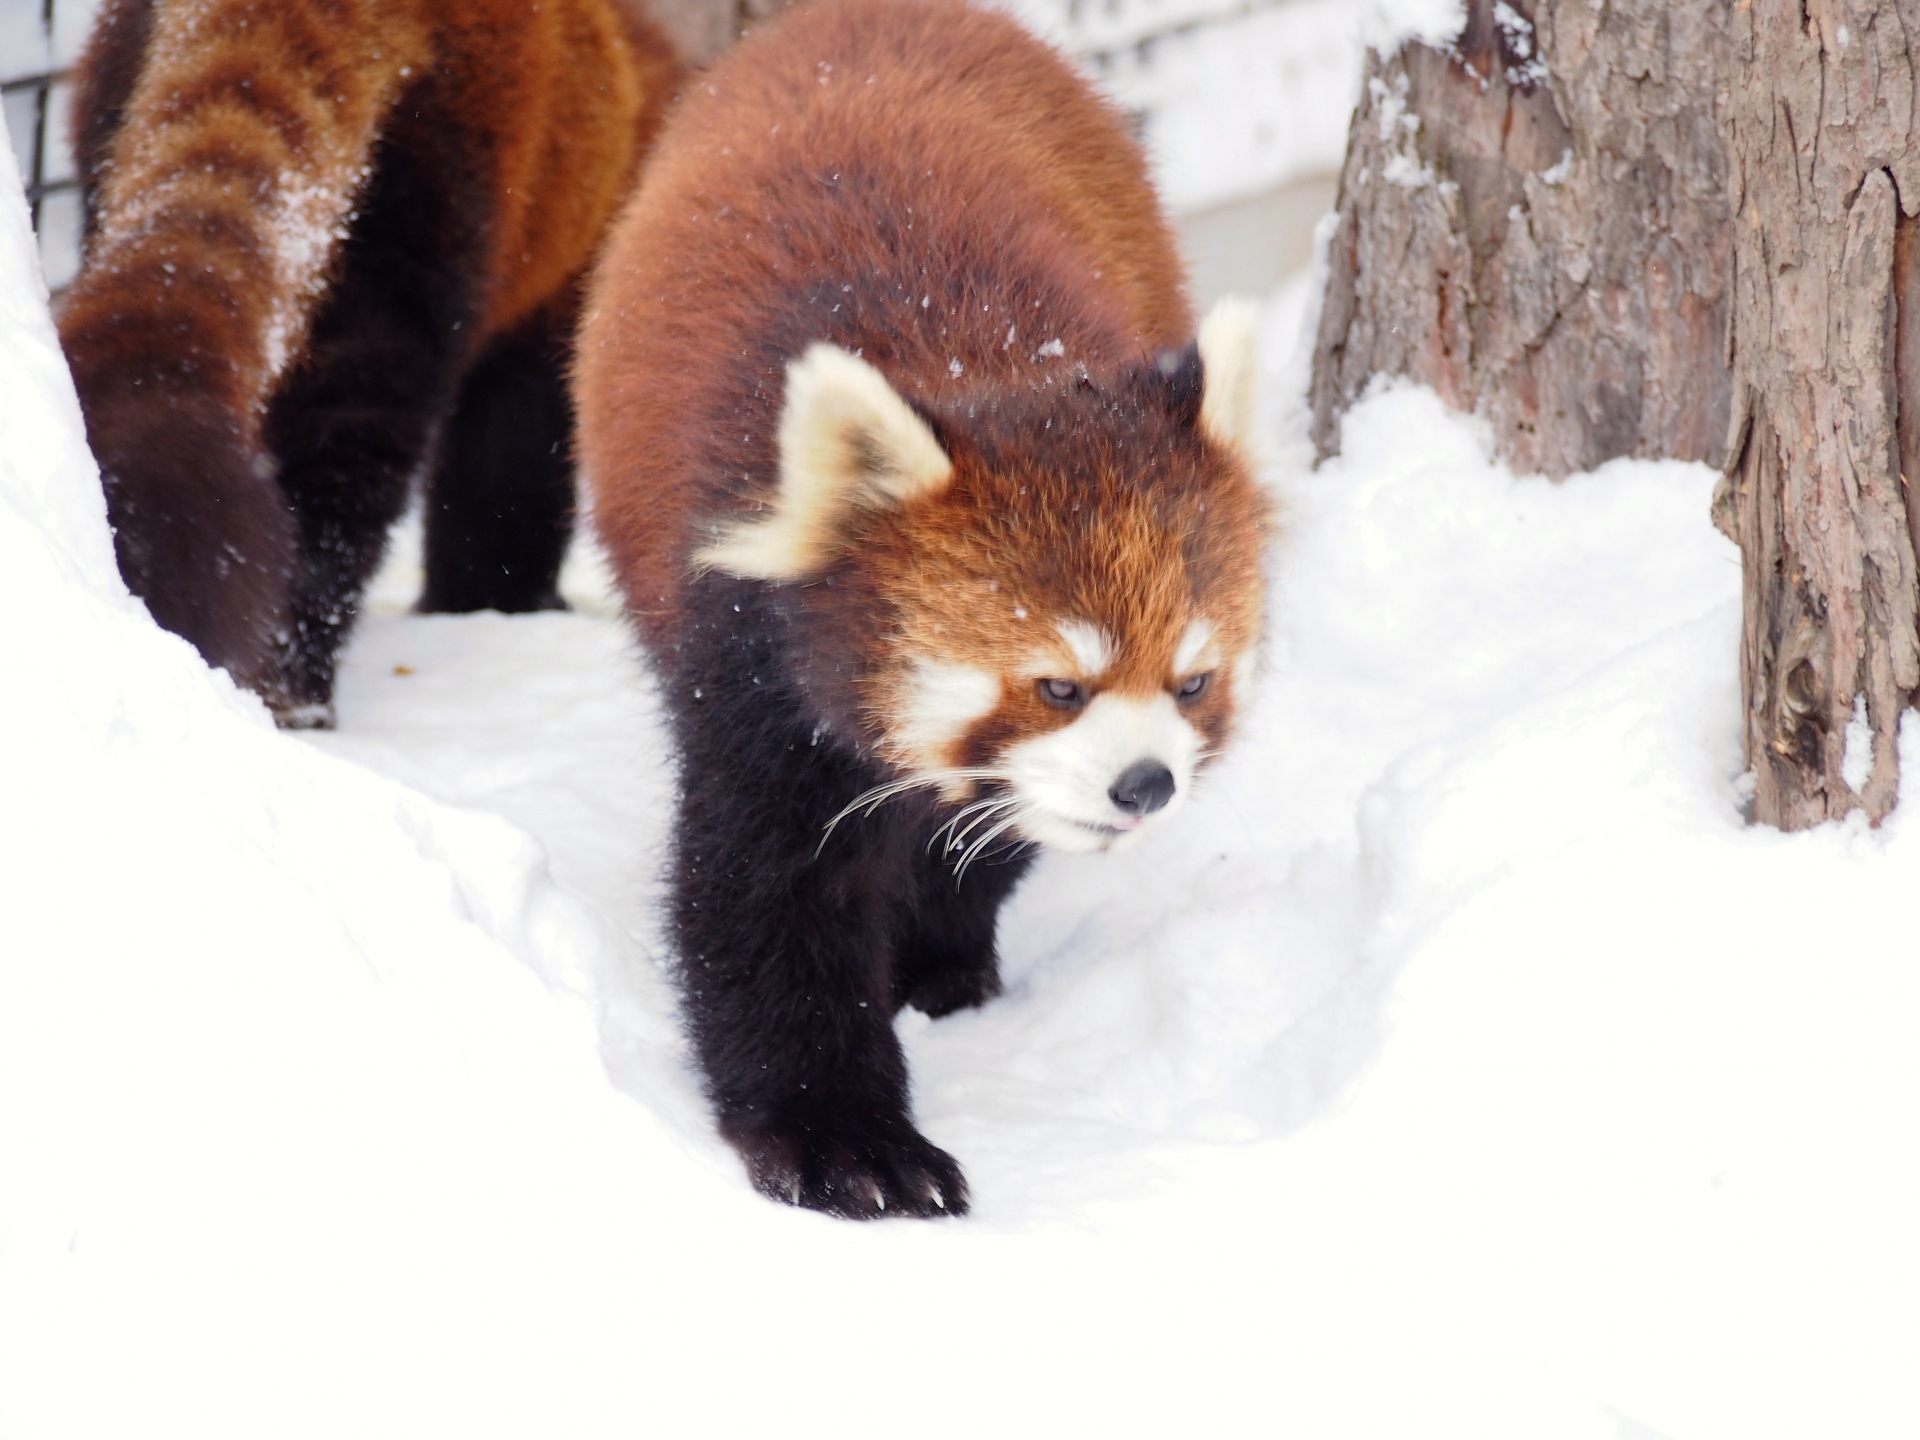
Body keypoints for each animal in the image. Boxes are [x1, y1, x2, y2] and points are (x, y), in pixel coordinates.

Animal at [58, 0, 683, 725]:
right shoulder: (558, 300)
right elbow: (511, 467)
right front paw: (496, 600)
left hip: (112, 104)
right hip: (428, 199)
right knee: (352, 451)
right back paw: (298, 687)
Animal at [576, 0, 1267, 1221]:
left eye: (1192, 681)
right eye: (1058, 686)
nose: (1146, 786)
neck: (986, 364)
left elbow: (982, 837)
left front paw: (941, 961)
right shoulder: (749, 664)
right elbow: (764, 901)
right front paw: (846, 1143)